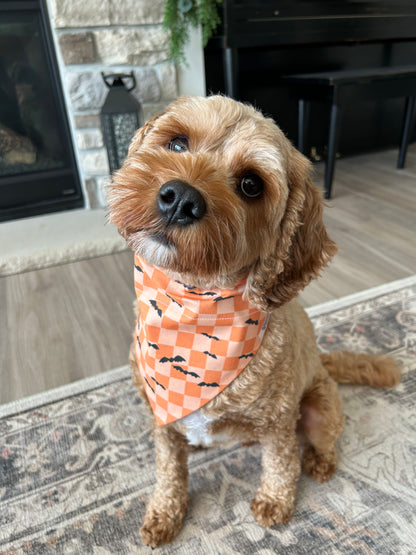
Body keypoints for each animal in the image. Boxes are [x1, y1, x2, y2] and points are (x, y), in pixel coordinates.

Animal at [107, 95, 400, 548]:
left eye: (251, 185)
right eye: (176, 143)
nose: (180, 198)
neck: (193, 305)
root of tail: (322, 360)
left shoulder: (278, 421)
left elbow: (281, 462)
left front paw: (275, 502)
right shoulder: (160, 419)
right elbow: (169, 468)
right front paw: (164, 512)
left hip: (319, 409)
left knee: (321, 441)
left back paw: (320, 462)